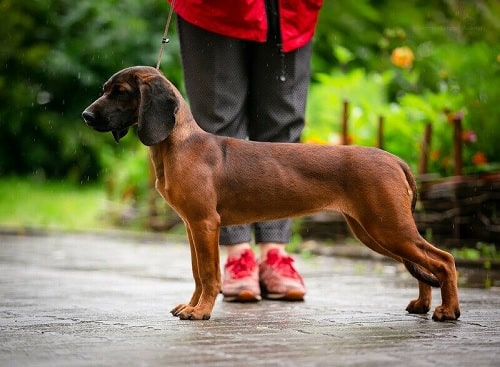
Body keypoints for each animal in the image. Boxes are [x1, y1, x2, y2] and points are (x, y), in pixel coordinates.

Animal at [82, 66, 460, 322]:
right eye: (105, 89)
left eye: (120, 92)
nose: (85, 115)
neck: (180, 145)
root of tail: (395, 159)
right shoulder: (192, 227)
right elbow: (196, 272)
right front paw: (192, 304)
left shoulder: (205, 224)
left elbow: (210, 274)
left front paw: (201, 311)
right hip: (374, 230)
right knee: (421, 264)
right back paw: (423, 304)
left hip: (388, 227)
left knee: (443, 260)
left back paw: (448, 310)